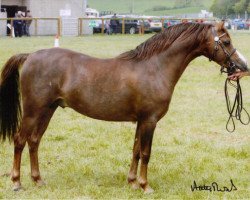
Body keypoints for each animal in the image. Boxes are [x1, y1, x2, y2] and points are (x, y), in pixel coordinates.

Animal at [0, 21, 248, 192]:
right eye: (226, 42)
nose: (242, 66)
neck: (155, 67)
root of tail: (30, 56)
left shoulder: (141, 121)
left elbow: (136, 151)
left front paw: (132, 182)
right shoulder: (149, 121)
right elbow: (146, 153)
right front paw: (145, 186)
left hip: (47, 110)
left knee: (34, 141)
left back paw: (38, 180)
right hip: (33, 111)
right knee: (20, 141)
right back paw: (17, 182)